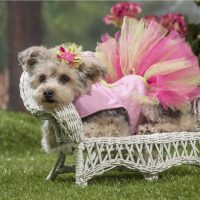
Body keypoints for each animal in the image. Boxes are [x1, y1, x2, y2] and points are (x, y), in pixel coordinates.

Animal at [18, 45, 198, 152]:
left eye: (64, 78)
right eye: (42, 78)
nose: (47, 92)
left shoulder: (114, 125)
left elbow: (90, 129)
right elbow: (50, 137)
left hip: (151, 104)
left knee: (185, 124)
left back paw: (150, 128)